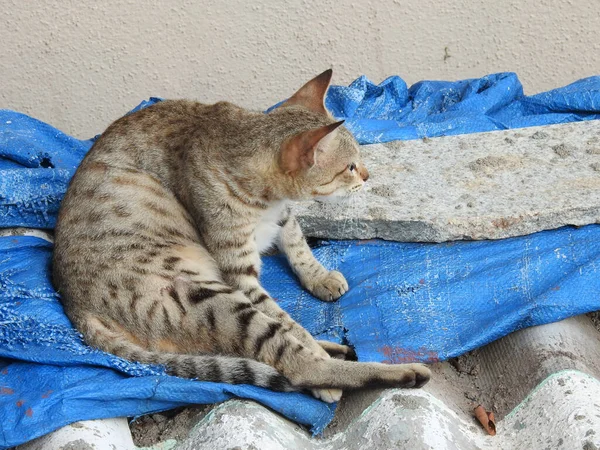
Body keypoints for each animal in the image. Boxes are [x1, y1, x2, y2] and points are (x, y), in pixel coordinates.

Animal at [50, 71, 426, 404]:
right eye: (349, 167)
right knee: (293, 361)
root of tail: (74, 305)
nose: (367, 175)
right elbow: (288, 324)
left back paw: (340, 348)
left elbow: (298, 247)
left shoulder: (284, 218)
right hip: (206, 297)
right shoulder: (240, 273)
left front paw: (319, 277)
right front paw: (315, 352)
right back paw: (385, 371)